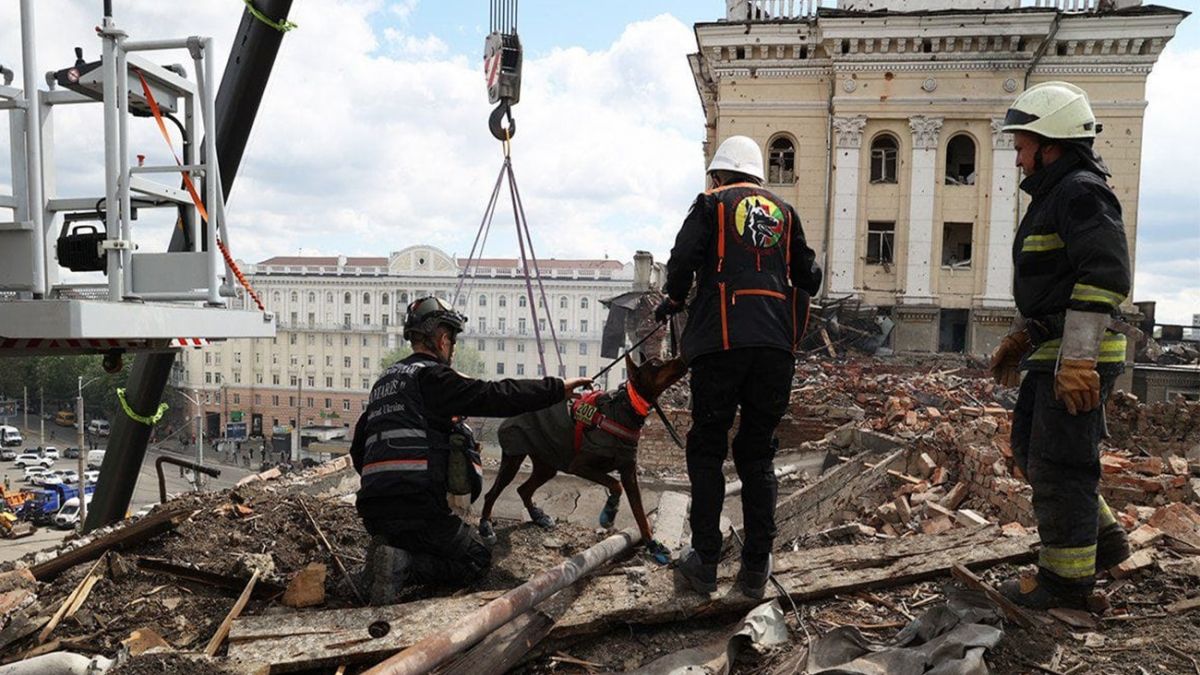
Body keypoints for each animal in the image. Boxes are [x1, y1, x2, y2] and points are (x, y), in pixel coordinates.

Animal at [475, 353, 686, 547]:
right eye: (656, 364)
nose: (682, 356)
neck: (626, 408)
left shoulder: (628, 469)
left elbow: (639, 511)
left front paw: (652, 544)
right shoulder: (579, 466)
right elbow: (614, 484)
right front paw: (609, 511)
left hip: (547, 463)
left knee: (523, 489)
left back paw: (538, 516)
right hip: (514, 457)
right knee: (492, 493)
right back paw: (486, 526)